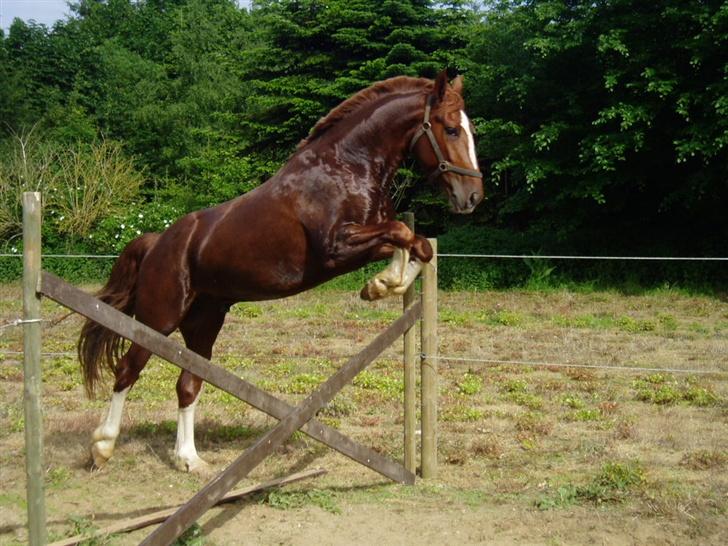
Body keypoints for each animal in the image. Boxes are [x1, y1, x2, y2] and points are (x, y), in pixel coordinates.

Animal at [78, 70, 484, 470]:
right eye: (451, 129)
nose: (472, 197)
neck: (347, 167)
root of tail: (157, 242)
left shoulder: (361, 243)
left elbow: (417, 244)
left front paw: (381, 285)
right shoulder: (336, 249)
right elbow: (402, 231)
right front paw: (382, 284)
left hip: (204, 322)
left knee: (188, 382)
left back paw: (189, 459)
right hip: (158, 318)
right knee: (127, 371)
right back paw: (102, 448)